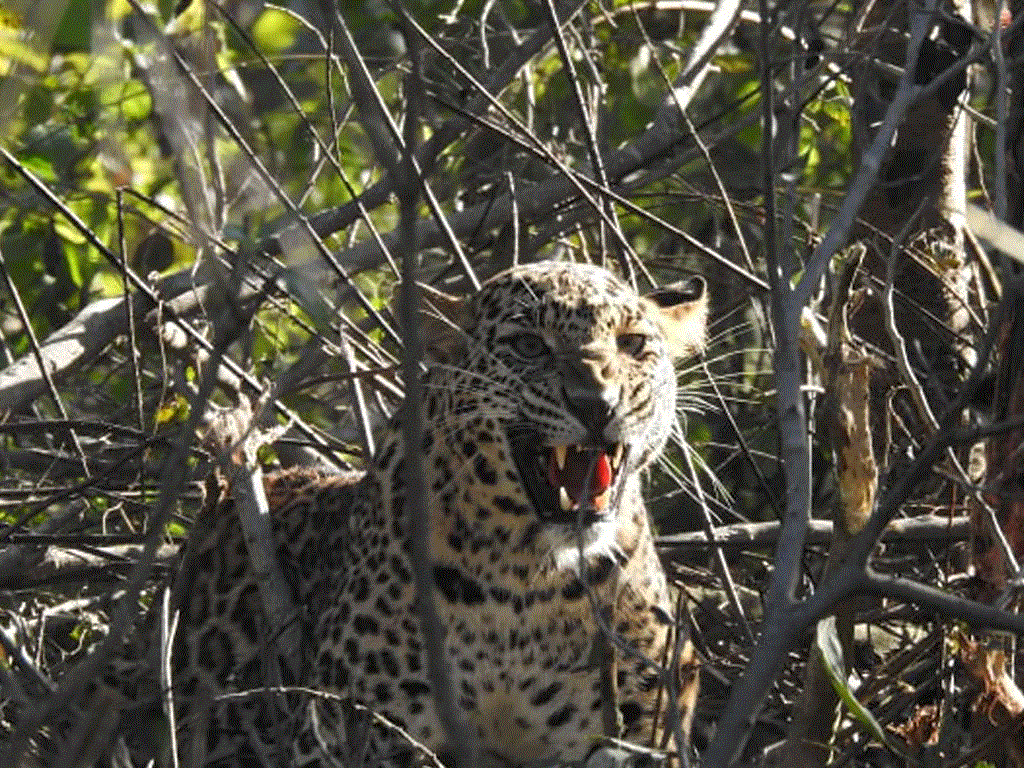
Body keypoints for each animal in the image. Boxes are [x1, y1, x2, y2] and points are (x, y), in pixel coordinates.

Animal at [155, 260, 708, 768]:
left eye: (632, 343)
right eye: (529, 346)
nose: (597, 403)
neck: (527, 582)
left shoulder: (639, 735)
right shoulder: (355, 735)